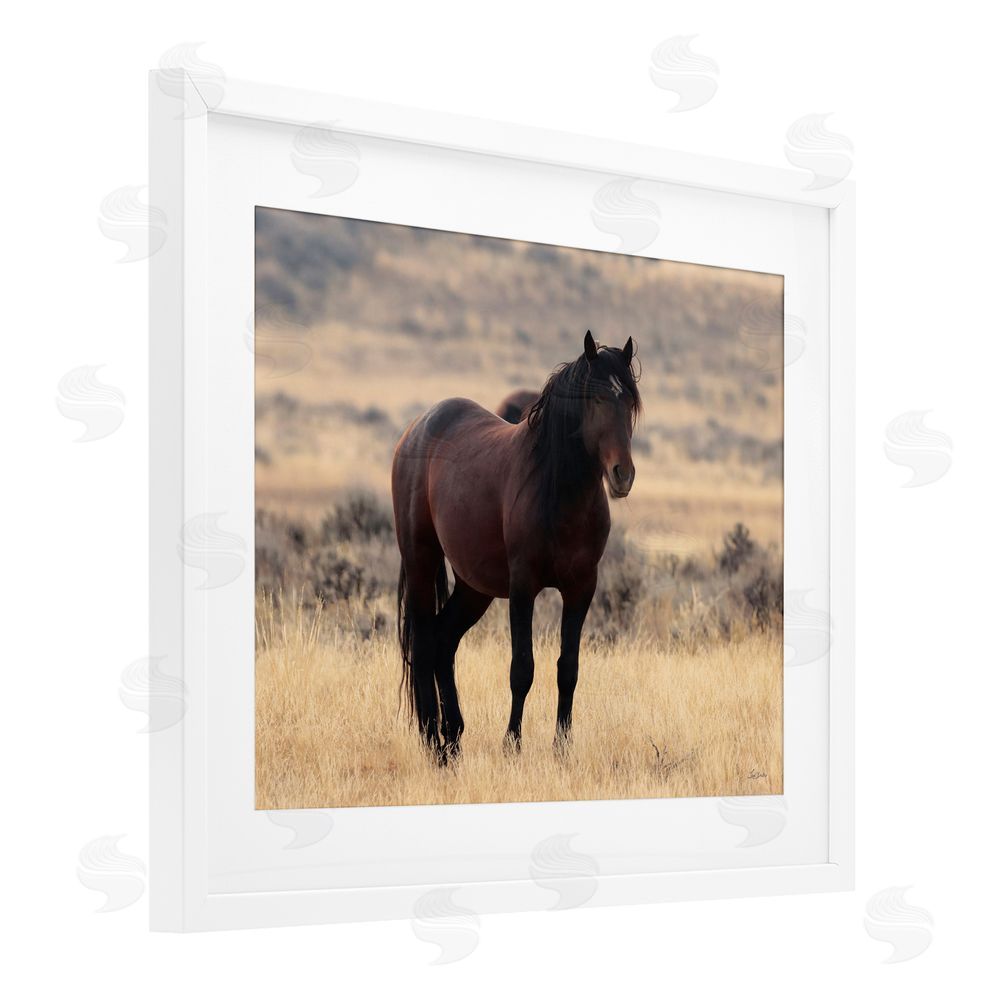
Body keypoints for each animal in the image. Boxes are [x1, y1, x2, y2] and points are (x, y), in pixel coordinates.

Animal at [391, 330, 640, 761]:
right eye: (595, 399)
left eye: (629, 402)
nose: (622, 474)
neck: (559, 493)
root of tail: (417, 428)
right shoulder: (523, 587)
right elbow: (522, 668)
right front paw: (512, 744)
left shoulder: (581, 589)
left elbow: (568, 669)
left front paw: (561, 748)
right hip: (422, 561)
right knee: (423, 644)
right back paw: (433, 743)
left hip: (474, 587)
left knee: (444, 641)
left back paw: (453, 739)